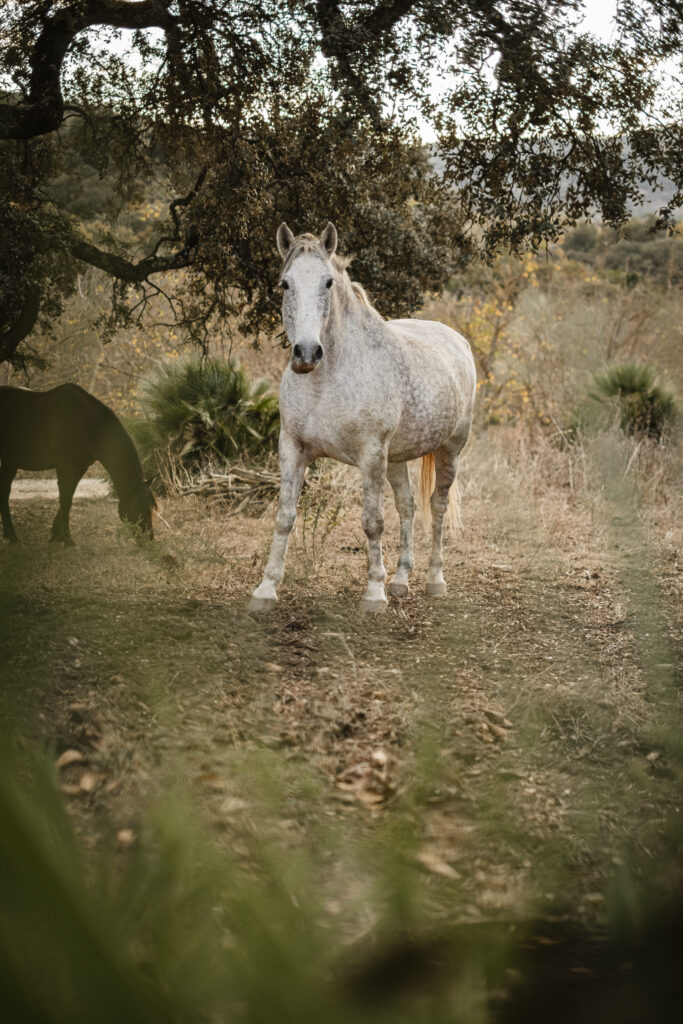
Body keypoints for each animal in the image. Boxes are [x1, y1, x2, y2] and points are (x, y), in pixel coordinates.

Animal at [0, 383, 156, 545]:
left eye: (152, 508)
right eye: (138, 509)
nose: (149, 541)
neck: (87, 424)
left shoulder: (80, 467)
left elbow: (69, 496)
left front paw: (56, 535)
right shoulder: (64, 465)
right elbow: (65, 500)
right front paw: (67, 539)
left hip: (9, 462)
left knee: (4, 492)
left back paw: (11, 535)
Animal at [249, 222, 476, 613]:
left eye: (327, 283)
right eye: (285, 284)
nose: (306, 353)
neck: (326, 379)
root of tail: (456, 339)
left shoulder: (370, 455)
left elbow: (373, 522)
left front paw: (373, 593)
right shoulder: (292, 448)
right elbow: (284, 518)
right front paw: (266, 589)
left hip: (449, 449)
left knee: (437, 505)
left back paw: (434, 579)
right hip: (396, 458)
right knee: (408, 506)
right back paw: (400, 580)